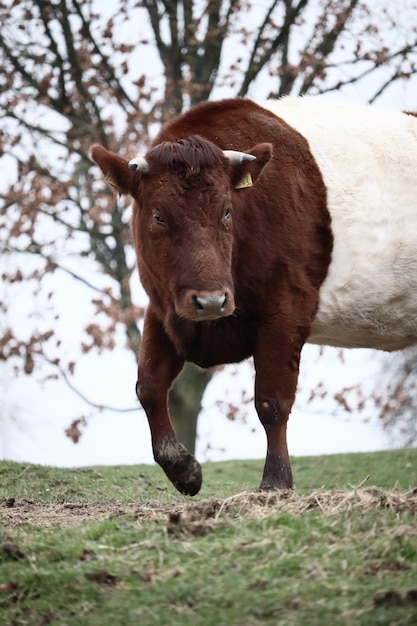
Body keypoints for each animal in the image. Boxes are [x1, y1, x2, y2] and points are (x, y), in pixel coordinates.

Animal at [90, 97, 416, 494]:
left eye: (227, 211)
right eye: (158, 217)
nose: (211, 301)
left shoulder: (286, 309)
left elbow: (271, 402)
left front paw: (275, 481)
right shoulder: (164, 308)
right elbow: (149, 386)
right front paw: (183, 469)